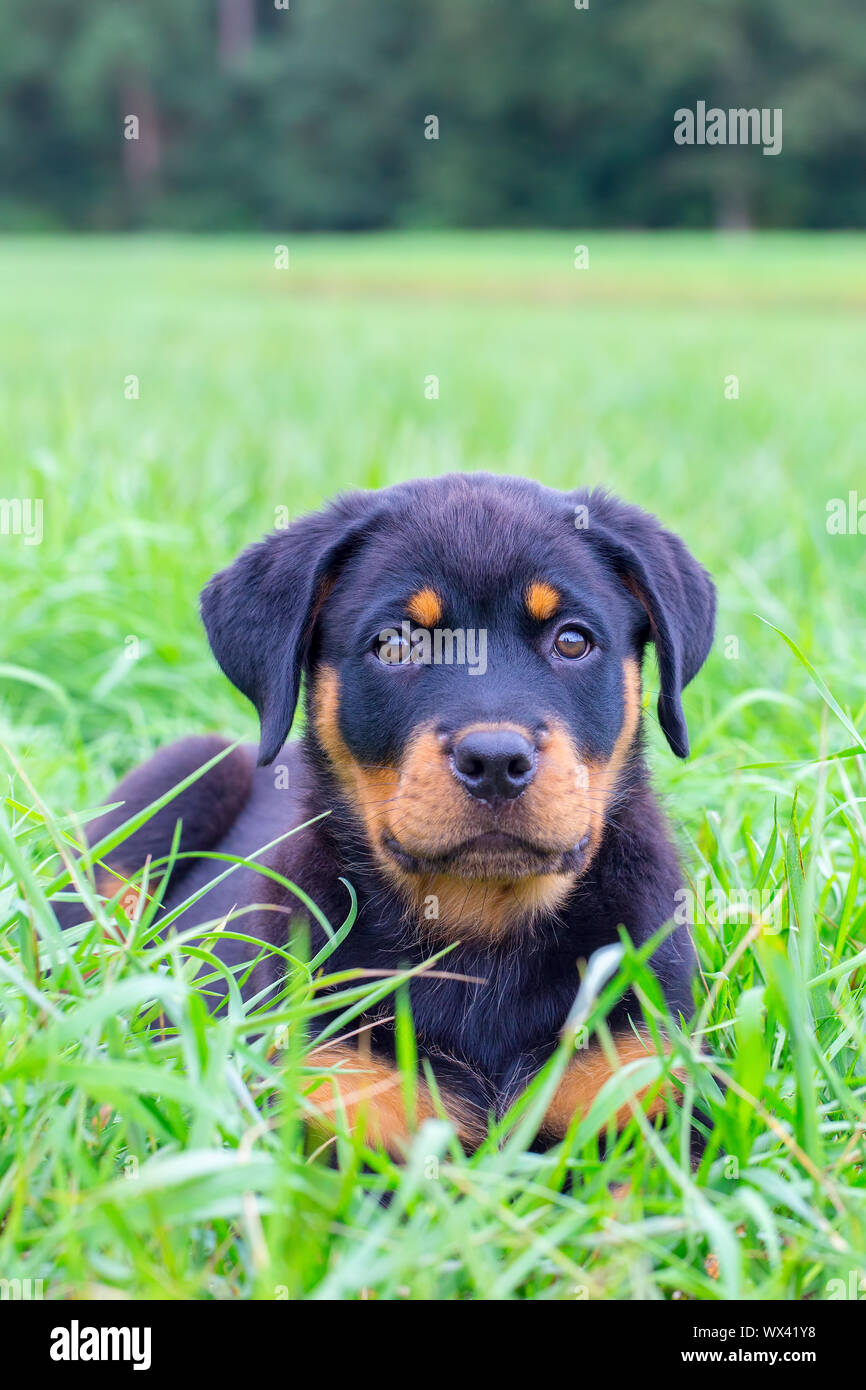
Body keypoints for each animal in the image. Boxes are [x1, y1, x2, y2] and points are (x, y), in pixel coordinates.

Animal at [61, 478, 717, 1150]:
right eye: (395, 645)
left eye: (572, 640)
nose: (495, 760)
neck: (483, 933)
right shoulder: (331, 1098)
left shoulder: (647, 1085)